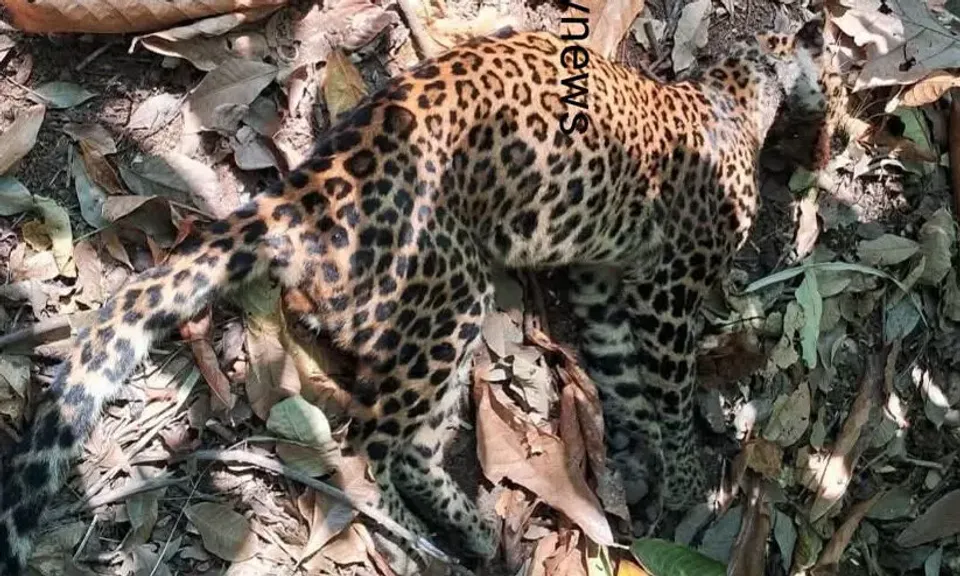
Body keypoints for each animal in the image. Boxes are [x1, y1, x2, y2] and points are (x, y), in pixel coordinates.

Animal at [0, 17, 829, 573]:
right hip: (450, 298)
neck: (730, 91)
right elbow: (671, 383)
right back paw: (409, 545)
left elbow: (623, 373)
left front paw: (645, 457)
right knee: (370, 443)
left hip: (434, 320)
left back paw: (477, 529)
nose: (830, 126)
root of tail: (296, 197)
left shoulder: (598, 284)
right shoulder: (668, 286)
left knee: (416, 445)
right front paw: (687, 477)